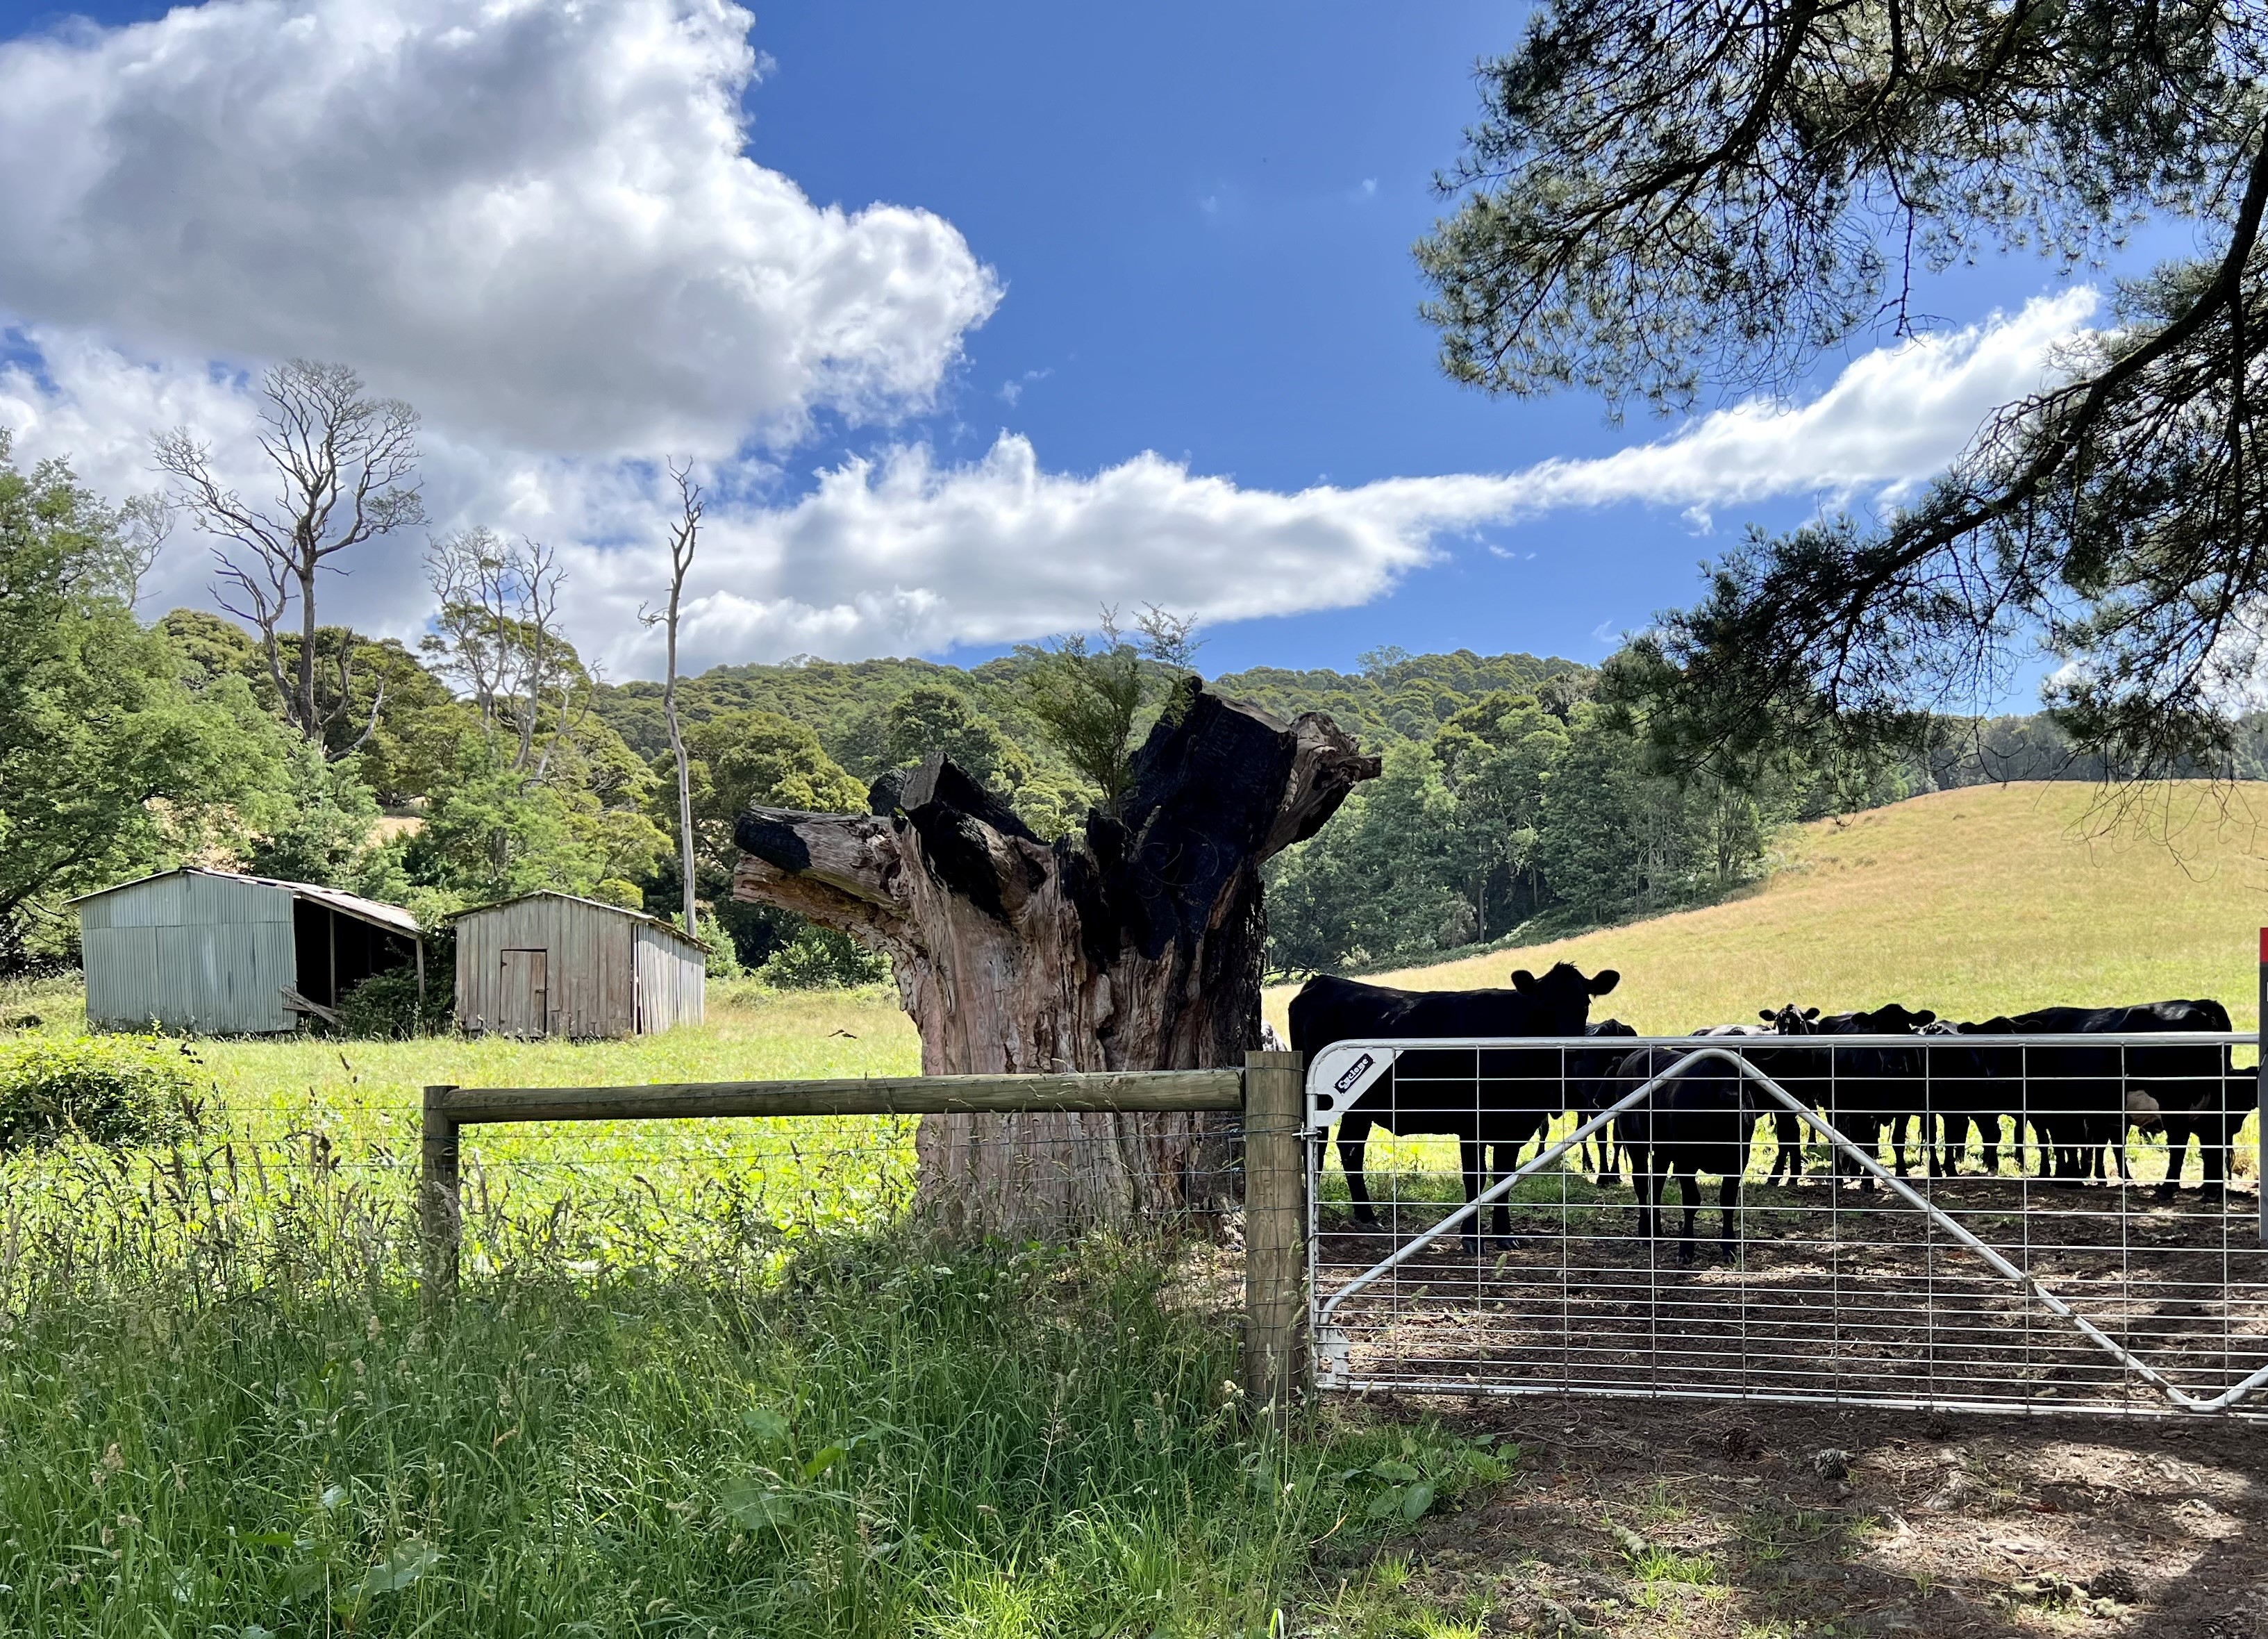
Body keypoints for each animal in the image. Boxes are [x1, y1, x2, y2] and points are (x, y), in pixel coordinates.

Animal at [1288, 956, 1624, 1251]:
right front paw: (1472, 1238)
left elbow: (1504, 1178)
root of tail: (1321, 982)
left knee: (1350, 1148)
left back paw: (1367, 1216)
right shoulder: (1471, 1124)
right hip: (1321, 1098)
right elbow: (1475, 1178)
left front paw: (1504, 1235)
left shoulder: (1516, 1124)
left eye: (1584, 1005)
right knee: (1317, 1149)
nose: (1571, 1048)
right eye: (1544, 1007)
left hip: (1360, 1107)